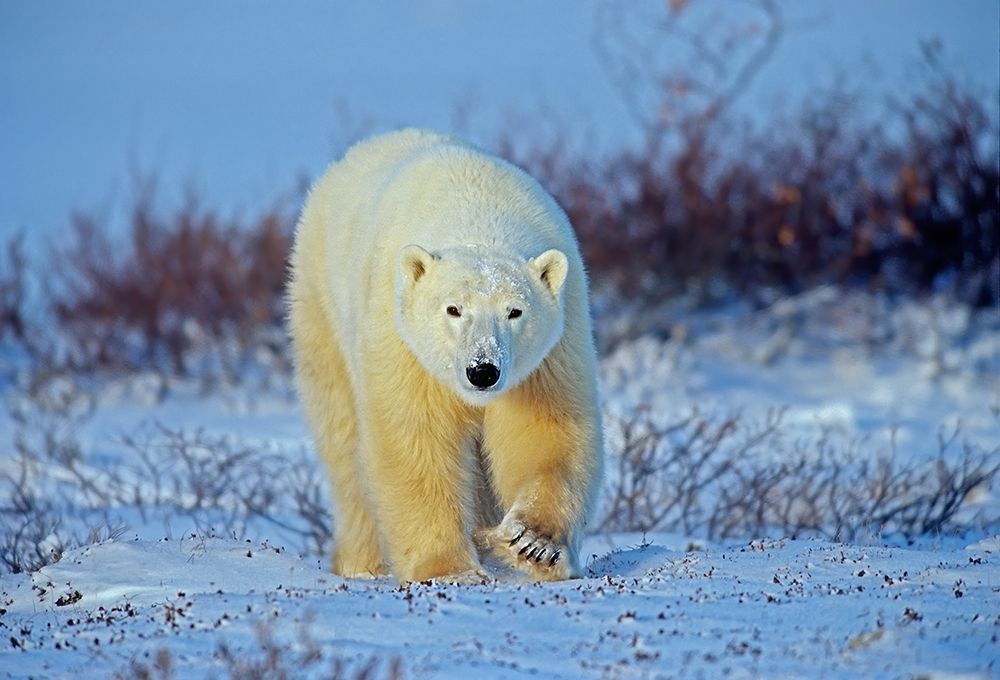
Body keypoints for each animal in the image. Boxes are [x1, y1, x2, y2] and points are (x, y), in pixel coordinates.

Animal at [287, 129, 603, 583]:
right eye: (453, 309)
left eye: (515, 310)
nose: (482, 371)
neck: (479, 213)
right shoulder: (402, 339)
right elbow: (416, 436)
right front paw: (449, 568)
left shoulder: (555, 346)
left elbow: (545, 427)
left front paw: (534, 544)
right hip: (321, 307)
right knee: (343, 444)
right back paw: (362, 562)